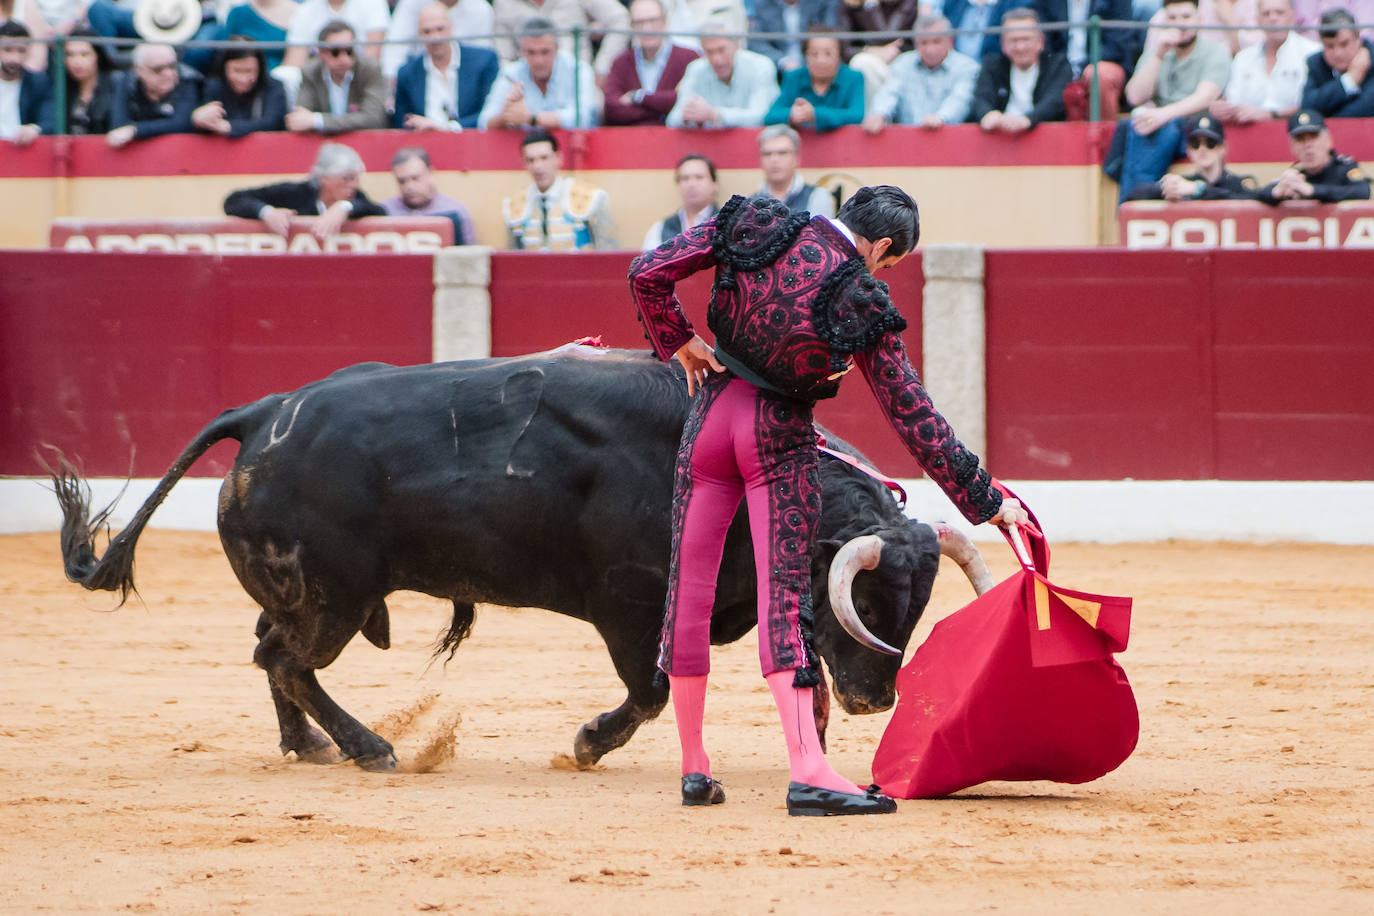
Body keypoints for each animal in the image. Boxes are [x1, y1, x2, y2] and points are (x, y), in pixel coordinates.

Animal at [48, 347, 983, 769]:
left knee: (267, 651)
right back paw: (369, 748)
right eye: (867, 604)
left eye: (919, 607)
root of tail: (264, 409)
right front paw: (588, 742)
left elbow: (796, 679)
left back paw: (308, 744)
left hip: (302, 590)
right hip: (332, 598)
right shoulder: (630, 605)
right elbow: (649, 691)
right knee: (286, 657)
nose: (877, 700)